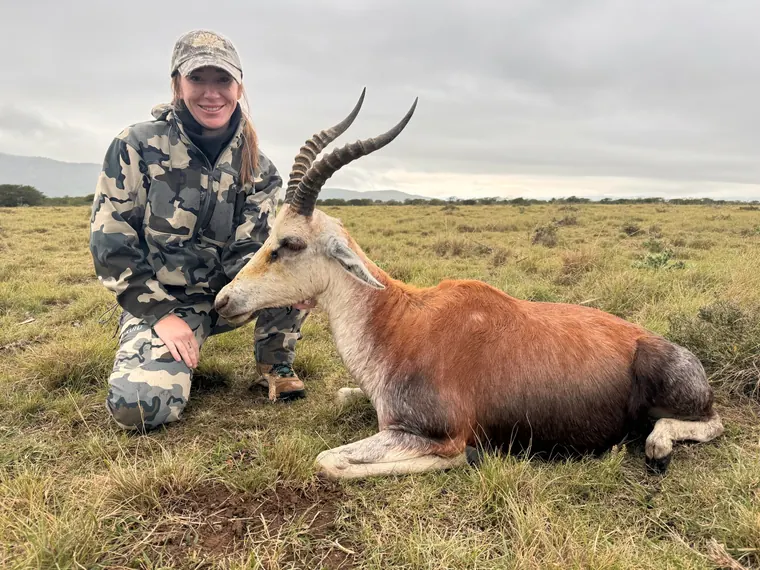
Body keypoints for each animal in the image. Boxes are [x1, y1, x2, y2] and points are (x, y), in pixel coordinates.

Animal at [214, 90, 724, 480]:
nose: (223, 300)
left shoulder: (435, 433)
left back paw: (657, 448)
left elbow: (332, 461)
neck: (400, 322)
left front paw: (470, 457)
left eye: (291, 243)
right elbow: (341, 402)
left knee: (711, 422)